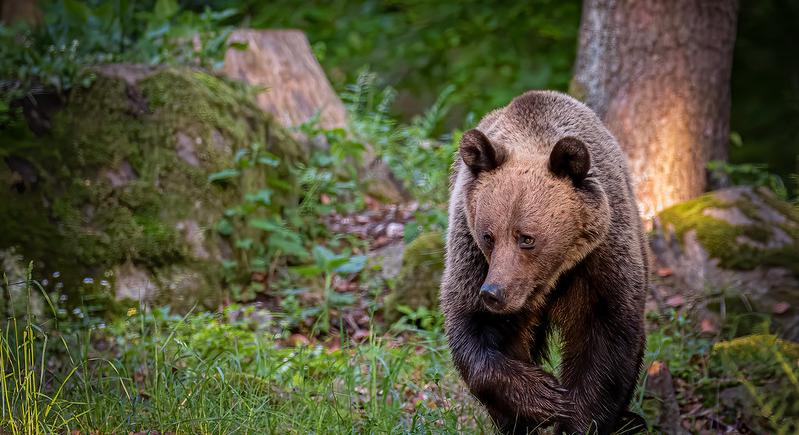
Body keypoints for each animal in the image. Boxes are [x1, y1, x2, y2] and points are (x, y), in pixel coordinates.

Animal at [444, 90, 648, 434]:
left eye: (526, 238)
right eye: (488, 236)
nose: (494, 293)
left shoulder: (601, 257)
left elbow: (608, 336)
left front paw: (577, 417)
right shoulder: (469, 251)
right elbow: (472, 328)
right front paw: (542, 395)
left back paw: (631, 420)